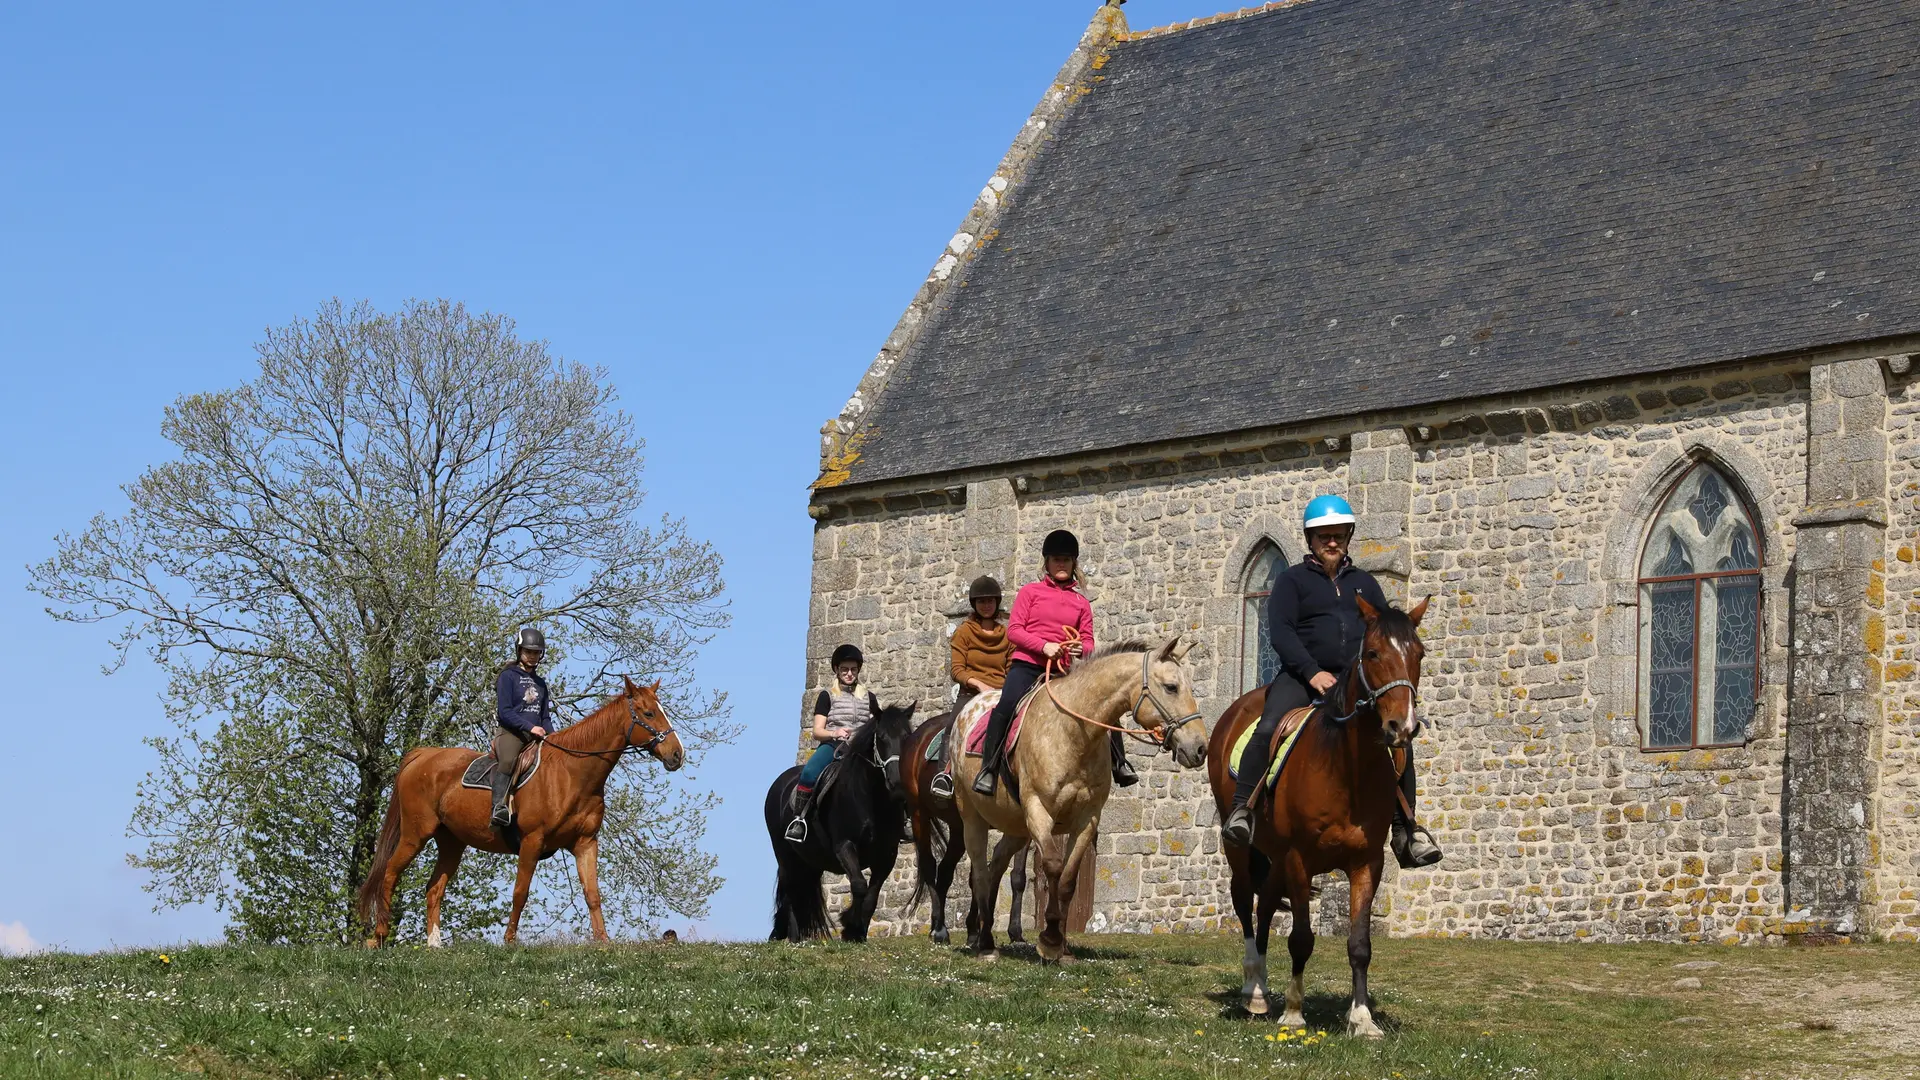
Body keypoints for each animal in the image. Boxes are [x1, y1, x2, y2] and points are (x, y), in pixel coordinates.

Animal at [357, 676, 687, 945]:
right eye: (648, 713)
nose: (677, 754)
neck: (571, 773)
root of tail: (423, 755)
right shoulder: (532, 841)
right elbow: (520, 892)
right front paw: (510, 941)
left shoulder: (585, 843)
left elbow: (593, 894)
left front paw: (603, 941)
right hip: (415, 834)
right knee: (390, 873)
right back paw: (380, 935)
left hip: (451, 842)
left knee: (434, 888)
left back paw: (433, 944)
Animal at [764, 703, 913, 937]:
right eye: (880, 736)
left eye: (907, 736)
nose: (896, 782)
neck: (871, 801)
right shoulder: (844, 846)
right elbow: (859, 885)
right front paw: (850, 927)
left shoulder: (887, 855)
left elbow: (872, 897)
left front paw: (859, 932)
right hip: (786, 857)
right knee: (791, 894)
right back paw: (795, 938)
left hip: (810, 860)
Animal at [906, 711, 1029, 945]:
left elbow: (1014, 876)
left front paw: (1011, 931)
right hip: (919, 814)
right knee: (930, 864)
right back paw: (939, 929)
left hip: (957, 829)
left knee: (945, 870)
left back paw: (940, 926)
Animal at [952, 630, 1205, 957]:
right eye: (1172, 687)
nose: (1200, 748)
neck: (1074, 734)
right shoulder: (1039, 811)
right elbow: (1052, 866)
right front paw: (1048, 939)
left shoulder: (1087, 818)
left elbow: (1069, 879)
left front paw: (1060, 945)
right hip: (972, 818)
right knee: (980, 872)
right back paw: (983, 944)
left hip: (1017, 826)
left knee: (995, 863)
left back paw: (987, 935)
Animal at [1205, 591, 1436, 1030]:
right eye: (1373, 653)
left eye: (1419, 653)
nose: (1403, 727)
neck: (1346, 770)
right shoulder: (1299, 859)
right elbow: (1301, 938)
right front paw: (1294, 1012)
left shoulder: (1367, 862)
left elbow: (1360, 943)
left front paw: (1362, 1018)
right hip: (1241, 847)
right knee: (1244, 900)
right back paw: (1254, 989)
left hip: (1275, 857)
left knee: (1264, 905)